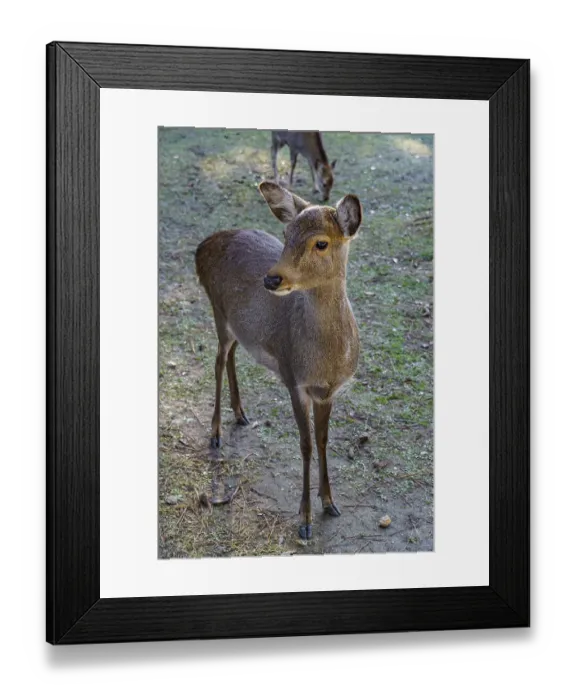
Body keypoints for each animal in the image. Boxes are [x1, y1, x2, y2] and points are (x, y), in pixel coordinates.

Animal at [195, 181, 362, 540]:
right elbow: (306, 444)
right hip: (217, 309)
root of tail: (201, 248)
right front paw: (305, 520)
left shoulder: (328, 391)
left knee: (231, 355)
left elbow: (324, 440)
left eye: (321, 242)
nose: (271, 279)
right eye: (286, 234)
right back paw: (215, 433)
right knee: (217, 360)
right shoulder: (292, 378)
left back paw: (241, 414)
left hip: (238, 325)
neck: (325, 362)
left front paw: (330, 502)